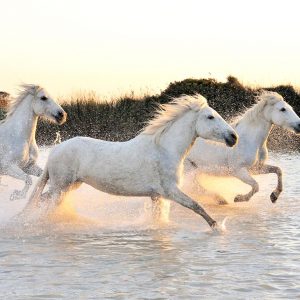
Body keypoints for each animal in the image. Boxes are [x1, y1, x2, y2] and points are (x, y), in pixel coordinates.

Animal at [24, 94, 237, 230]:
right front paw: (218, 227)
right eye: (210, 117)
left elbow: (159, 216)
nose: (233, 137)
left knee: (42, 200)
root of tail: (55, 151)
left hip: (70, 185)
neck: (164, 149)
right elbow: (196, 206)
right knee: (44, 201)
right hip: (61, 186)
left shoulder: (157, 195)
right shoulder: (170, 191)